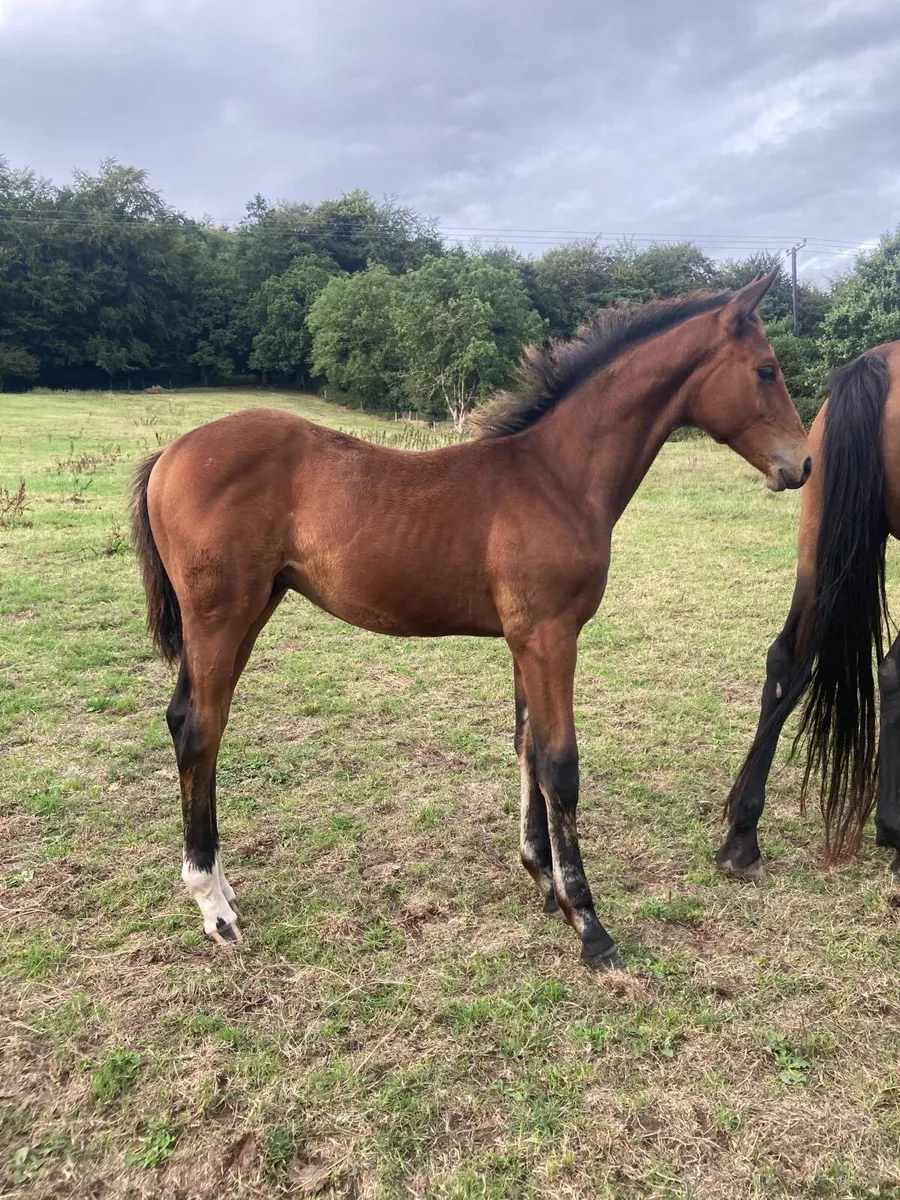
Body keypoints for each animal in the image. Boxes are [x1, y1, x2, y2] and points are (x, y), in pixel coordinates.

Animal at [131, 268, 810, 970]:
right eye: (766, 369)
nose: (802, 463)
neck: (556, 478)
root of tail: (169, 455)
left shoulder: (525, 639)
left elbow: (528, 747)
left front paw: (544, 881)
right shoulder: (550, 635)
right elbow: (560, 765)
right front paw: (588, 923)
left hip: (250, 611)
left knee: (189, 719)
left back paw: (222, 886)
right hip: (220, 616)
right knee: (200, 729)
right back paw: (213, 905)